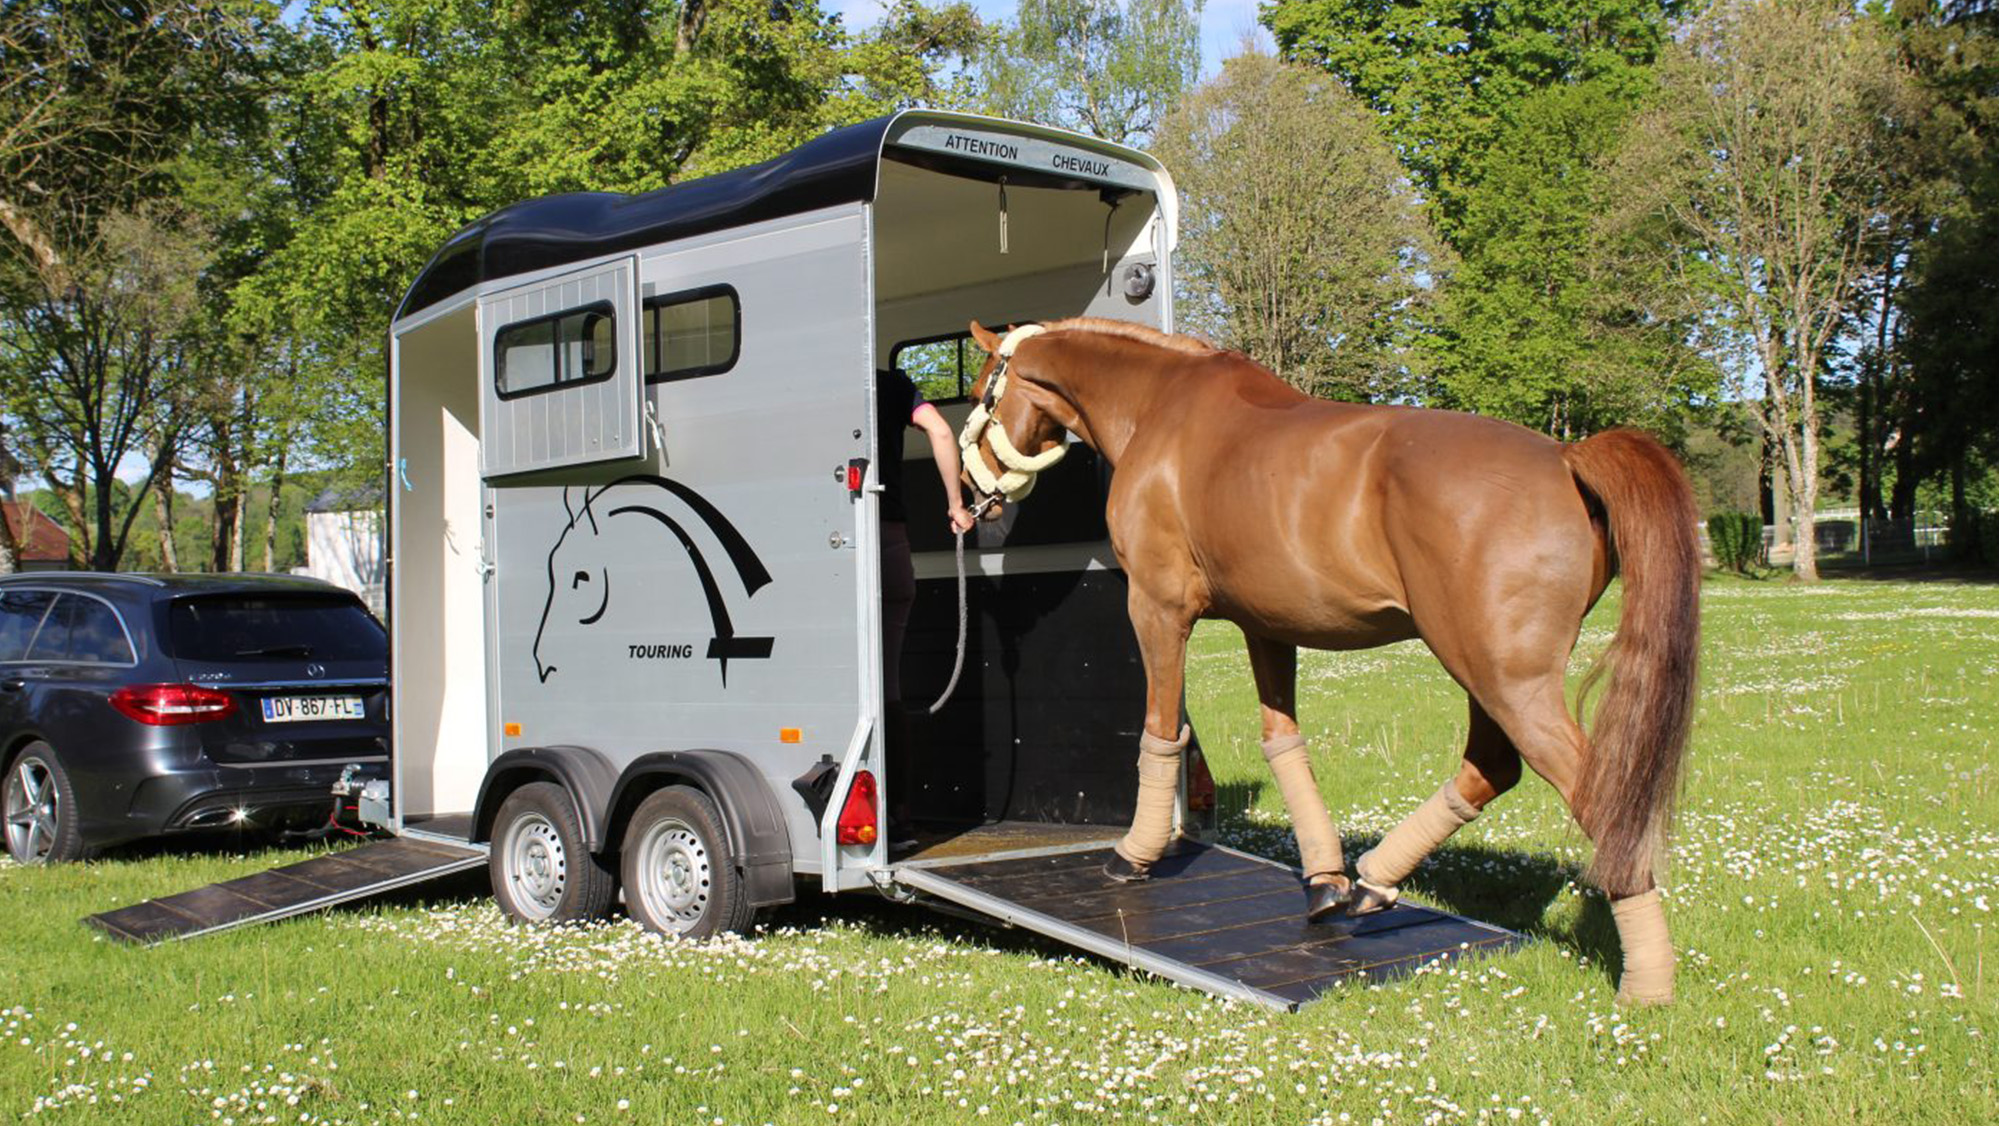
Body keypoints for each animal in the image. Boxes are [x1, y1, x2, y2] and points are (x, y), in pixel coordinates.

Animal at [957, 318, 1700, 1005]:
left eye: (980, 388)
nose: (968, 491)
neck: (1160, 407)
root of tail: (1567, 456)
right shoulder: (1267, 628)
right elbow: (1284, 744)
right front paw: (1324, 880)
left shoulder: (1158, 610)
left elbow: (1161, 731)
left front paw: (1133, 856)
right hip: (1487, 675)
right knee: (1492, 767)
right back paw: (1371, 883)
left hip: (1504, 678)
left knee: (1597, 795)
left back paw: (1648, 982)